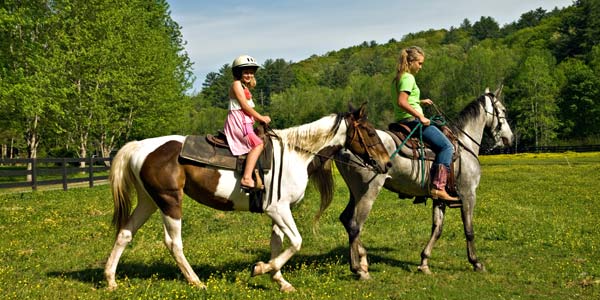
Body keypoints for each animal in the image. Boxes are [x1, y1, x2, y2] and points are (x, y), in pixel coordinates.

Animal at [104, 104, 394, 292]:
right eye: (369, 132)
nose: (387, 164)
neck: (296, 154)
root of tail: (140, 146)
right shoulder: (278, 209)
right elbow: (296, 242)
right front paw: (261, 269)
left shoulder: (279, 212)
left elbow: (278, 244)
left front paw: (279, 280)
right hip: (169, 201)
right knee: (173, 243)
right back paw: (195, 281)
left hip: (148, 201)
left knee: (125, 233)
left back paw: (110, 279)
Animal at [330, 86, 512, 278]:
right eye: (503, 110)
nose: (509, 139)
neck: (464, 145)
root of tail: (344, 147)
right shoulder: (468, 194)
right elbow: (469, 230)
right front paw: (476, 262)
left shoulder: (440, 198)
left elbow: (437, 229)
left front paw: (424, 262)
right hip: (368, 193)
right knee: (355, 225)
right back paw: (359, 268)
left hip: (355, 193)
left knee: (346, 220)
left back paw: (363, 260)